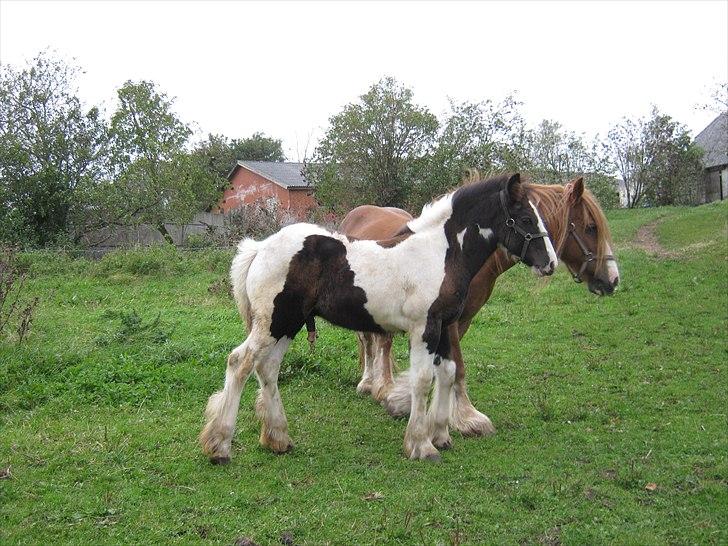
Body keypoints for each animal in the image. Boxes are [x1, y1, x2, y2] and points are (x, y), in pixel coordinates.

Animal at [199, 172, 556, 462]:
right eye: (525, 218)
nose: (550, 263)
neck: (439, 254)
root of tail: (259, 247)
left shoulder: (443, 326)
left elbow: (448, 372)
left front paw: (441, 435)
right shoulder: (424, 328)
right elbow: (423, 379)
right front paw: (421, 445)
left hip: (288, 324)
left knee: (267, 368)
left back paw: (278, 439)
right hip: (273, 323)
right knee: (240, 362)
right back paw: (220, 446)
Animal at [340, 176, 620, 436]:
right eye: (591, 227)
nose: (613, 279)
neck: (455, 252)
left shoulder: (461, 320)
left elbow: (446, 366)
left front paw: (417, 403)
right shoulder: (446, 321)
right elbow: (457, 367)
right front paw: (467, 417)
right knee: (371, 342)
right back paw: (372, 384)